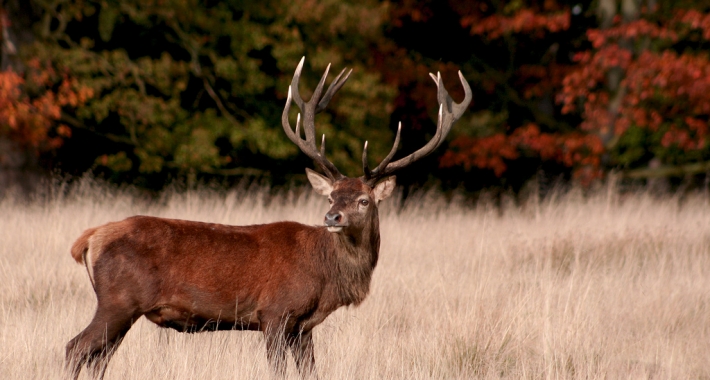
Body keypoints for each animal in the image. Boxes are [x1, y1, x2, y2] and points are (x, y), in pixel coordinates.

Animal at [67, 55, 472, 378]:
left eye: (363, 200)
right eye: (333, 195)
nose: (332, 217)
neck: (326, 276)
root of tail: (89, 238)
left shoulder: (304, 327)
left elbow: (311, 372)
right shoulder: (275, 312)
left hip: (123, 308)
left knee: (98, 357)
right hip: (118, 300)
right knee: (76, 349)